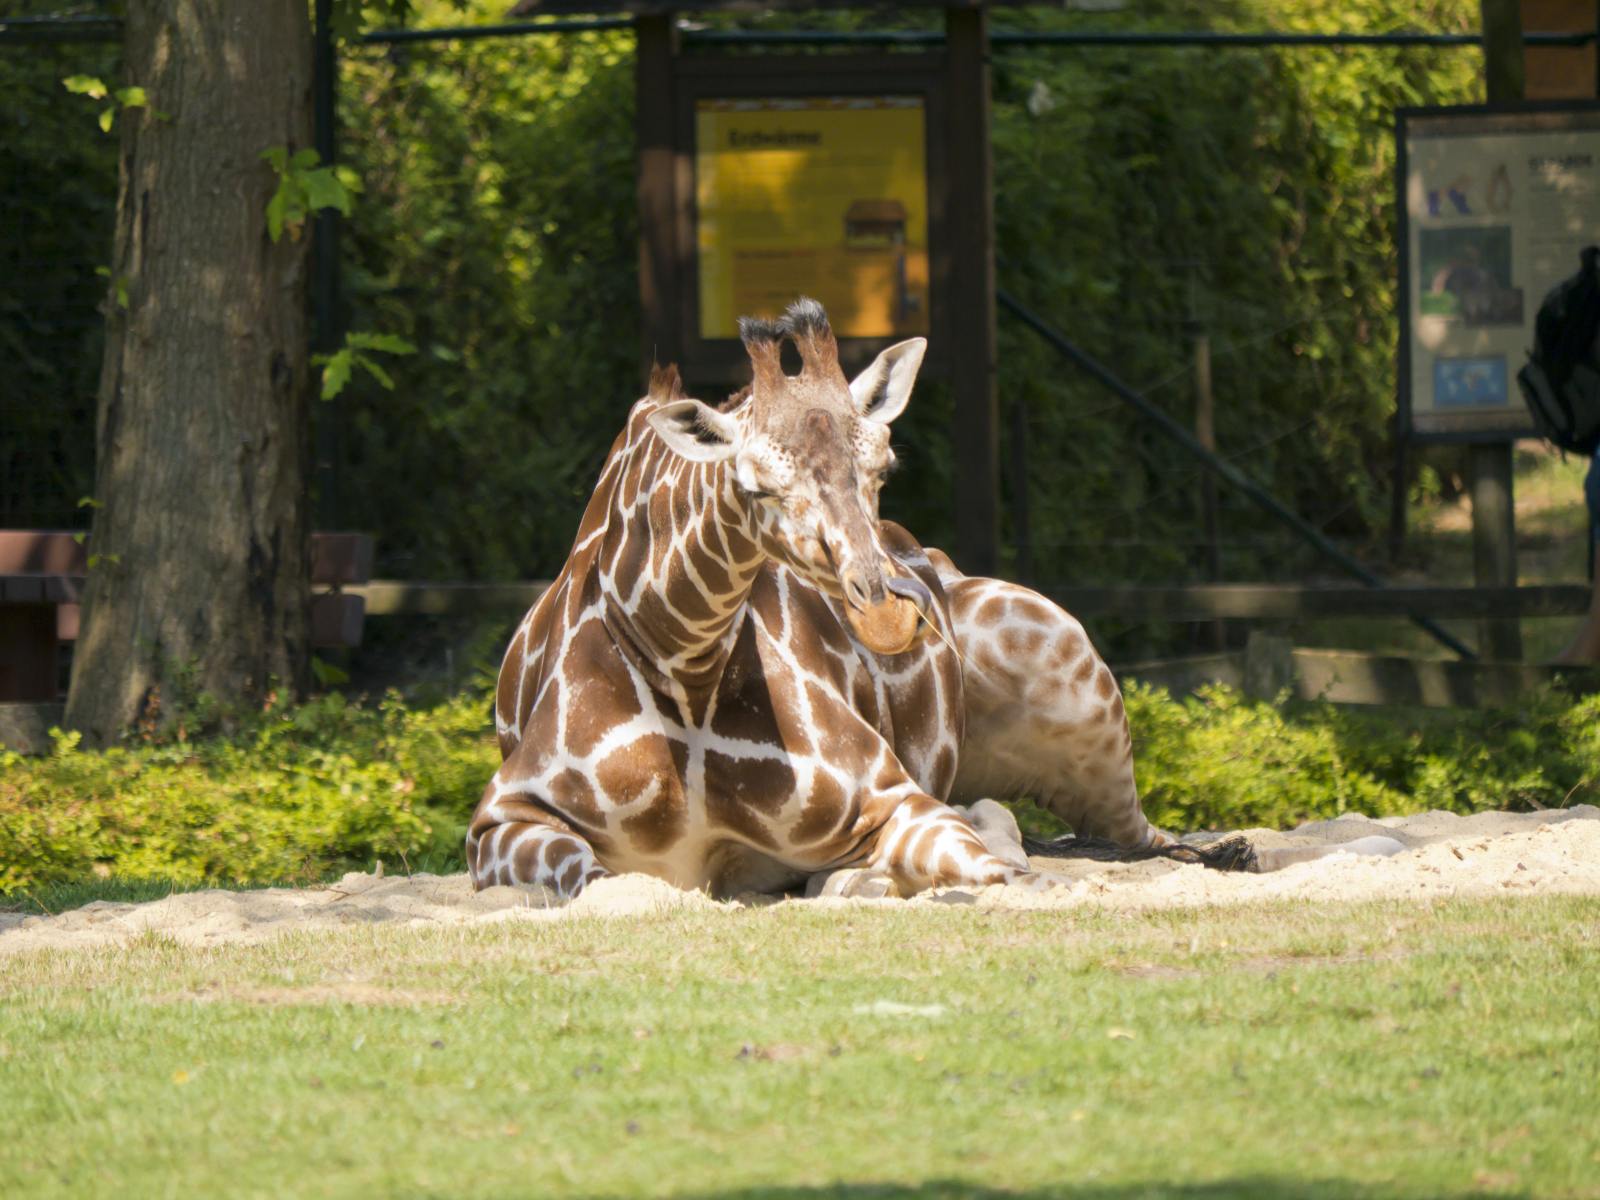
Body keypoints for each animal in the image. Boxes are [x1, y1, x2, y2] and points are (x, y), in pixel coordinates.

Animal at [466, 298, 1169, 900]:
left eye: (884, 468)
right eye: (757, 486)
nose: (887, 612)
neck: (682, 662)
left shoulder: (892, 794)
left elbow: (1000, 870)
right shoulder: (499, 823)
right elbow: (596, 879)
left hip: (1076, 684)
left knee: (1131, 833)